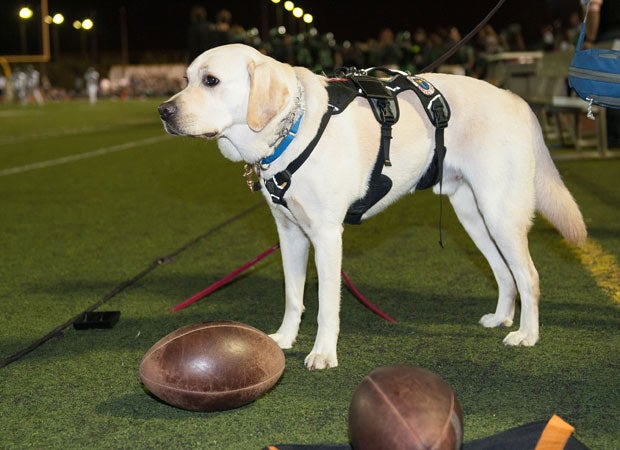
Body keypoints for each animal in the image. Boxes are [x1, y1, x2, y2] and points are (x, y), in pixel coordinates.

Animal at [159, 44, 588, 370]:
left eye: (211, 81)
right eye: (185, 80)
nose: (163, 111)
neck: (291, 131)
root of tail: (516, 99)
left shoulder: (327, 236)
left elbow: (326, 304)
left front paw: (323, 354)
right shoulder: (291, 234)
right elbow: (294, 297)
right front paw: (284, 338)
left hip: (501, 212)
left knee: (529, 275)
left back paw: (527, 334)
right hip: (474, 216)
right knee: (504, 273)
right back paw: (501, 317)